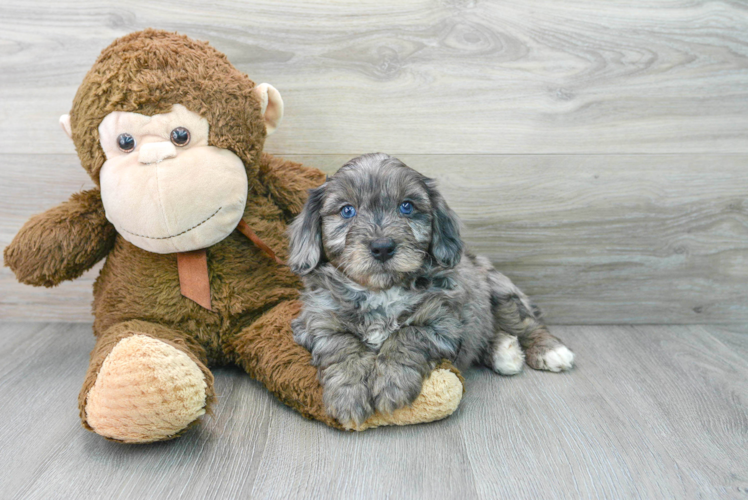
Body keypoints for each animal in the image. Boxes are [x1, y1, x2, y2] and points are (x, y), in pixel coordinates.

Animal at [286, 152, 572, 426]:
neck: (381, 292)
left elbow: (407, 335)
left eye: (407, 207)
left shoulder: (443, 321)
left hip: (499, 291)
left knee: (527, 324)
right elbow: (342, 345)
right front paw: (349, 394)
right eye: (347, 211)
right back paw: (505, 351)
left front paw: (391, 384)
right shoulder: (317, 322)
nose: (382, 247)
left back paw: (550, 351)